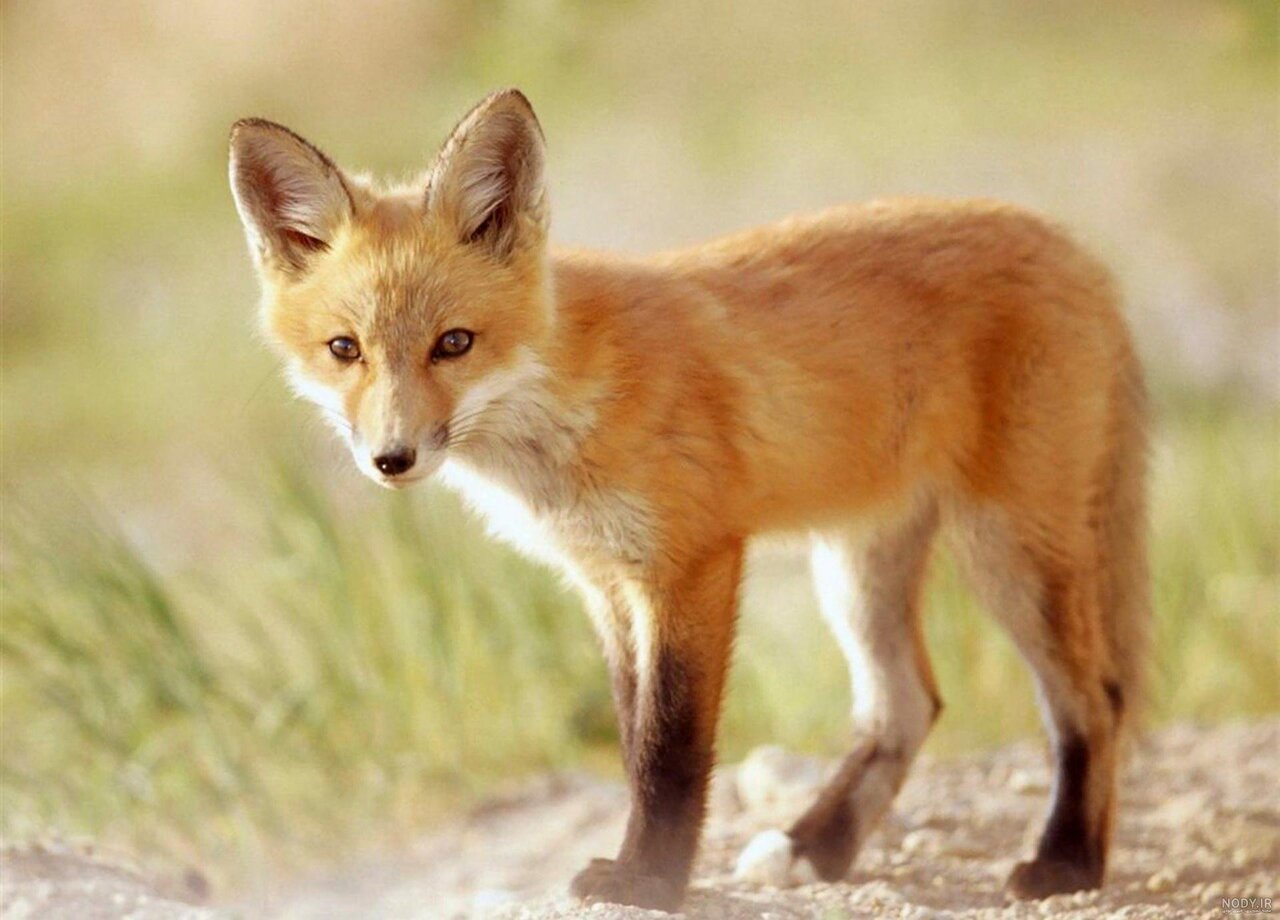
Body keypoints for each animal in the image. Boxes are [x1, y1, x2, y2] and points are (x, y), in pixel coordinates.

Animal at [229, 89, 1149, 912]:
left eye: (453, 344)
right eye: (344, 349)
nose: (392, 458)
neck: (567, 403)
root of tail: (1073, 245)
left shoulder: (692, 562)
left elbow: (670, 749)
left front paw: (649, 883)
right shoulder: (606, 584)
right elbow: (633, 738)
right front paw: (649, 868)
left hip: (1011, 549)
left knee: (1093, 700)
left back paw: (1066, 863)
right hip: (856, 567)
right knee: (907, 707)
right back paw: (817, 848)